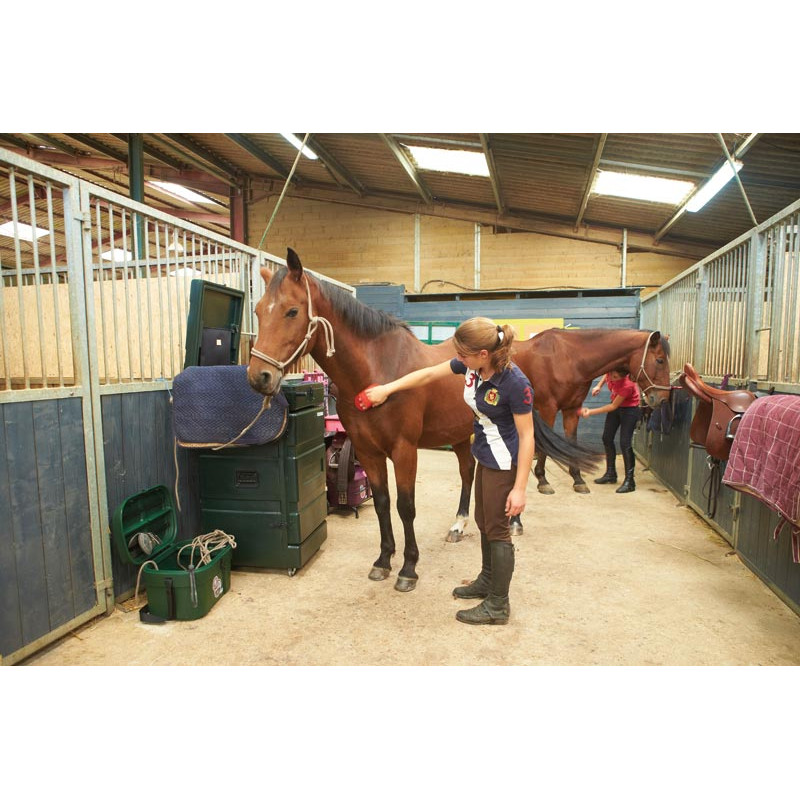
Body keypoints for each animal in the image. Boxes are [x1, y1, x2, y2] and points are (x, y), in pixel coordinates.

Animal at [247, 249, 603, 593]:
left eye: (292, 311)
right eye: (259, 311)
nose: (259, 377)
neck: (377, 372)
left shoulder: (404, 450)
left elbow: (406, 506)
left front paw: (408, 569)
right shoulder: (367, 451)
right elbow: (382, 503)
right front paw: (383, 561)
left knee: (518, 470)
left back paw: (514, 523)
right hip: (461, 435)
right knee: (467, 473)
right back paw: (458, 525)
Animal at [510, 327, 673, 498]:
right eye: (660, 360)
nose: (663, 399)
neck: (566, 358)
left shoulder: (572, 410)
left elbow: (572, 441)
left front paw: (578, 480)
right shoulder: (548, 409)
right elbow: (545, 447)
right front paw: (543, 481)